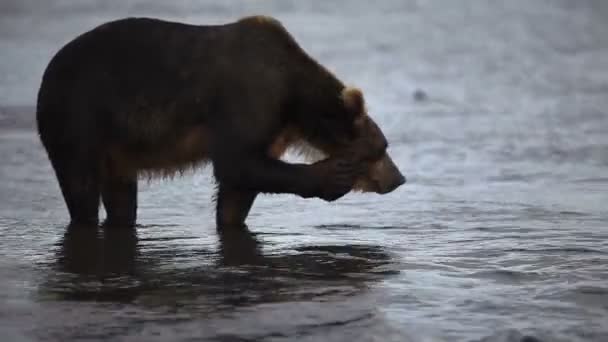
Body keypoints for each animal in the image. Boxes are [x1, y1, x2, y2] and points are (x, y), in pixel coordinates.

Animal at [36, 16, 404, 230]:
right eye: (381, 147)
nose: (398, 178)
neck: (294, 100)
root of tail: (47, 73)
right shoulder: (248, 99)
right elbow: (236, 163)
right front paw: (333, 175)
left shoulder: (271, 128)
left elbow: (237, 188)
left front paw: (230, 222)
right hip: (81, 114)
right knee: (81, 185)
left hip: (117, 145)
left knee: (120, 195)